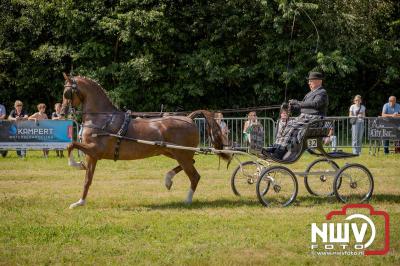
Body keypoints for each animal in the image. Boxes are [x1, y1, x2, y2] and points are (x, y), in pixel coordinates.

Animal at [59, 74, 228, 209]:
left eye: (66, 93)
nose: (61, 112)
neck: (102, 118)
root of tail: (189, 118)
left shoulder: (94, 150)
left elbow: (72, 146)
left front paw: (76, 166)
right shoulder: (92, 155)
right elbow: (87, 178)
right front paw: (80, 201)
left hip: (181, 154)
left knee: (194, 176)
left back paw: (187, 200)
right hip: (172, 152)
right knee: (192, 163)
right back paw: (168, 179)